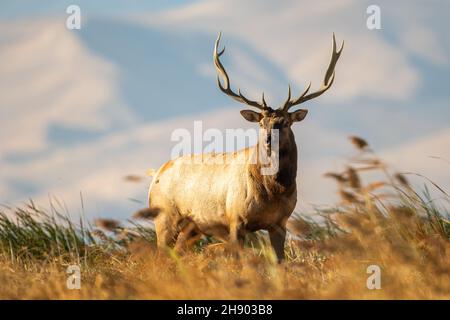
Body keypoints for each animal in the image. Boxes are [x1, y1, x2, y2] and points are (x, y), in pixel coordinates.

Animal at [146, 33, 342, 262]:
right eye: (261, 123)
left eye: (285, 122)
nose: (269, 140)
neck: (273, 193)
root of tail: (156, 173)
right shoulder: (235, 219)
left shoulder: (280, 222)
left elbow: (280, 261)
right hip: (164, 217)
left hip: (192, 227)